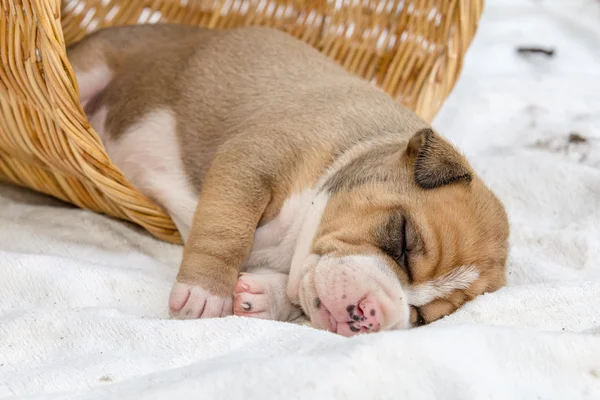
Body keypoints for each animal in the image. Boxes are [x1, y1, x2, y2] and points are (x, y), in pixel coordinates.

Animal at [67, 24, 510, 338]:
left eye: (422, 317)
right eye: (401, 239)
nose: (371, 315)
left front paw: (264, 297)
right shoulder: (250, 160)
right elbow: (227, 232)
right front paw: (205, 292)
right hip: (94, 64)